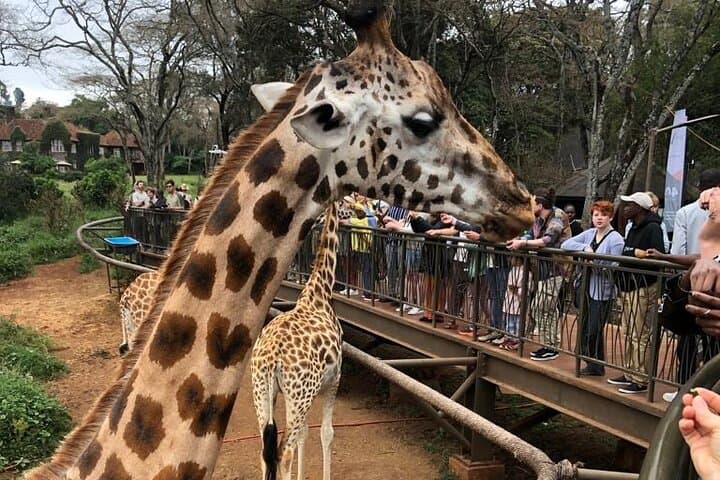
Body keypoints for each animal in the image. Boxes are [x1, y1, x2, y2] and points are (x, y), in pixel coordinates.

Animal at [251, 202, 341, 480]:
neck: (320, 292)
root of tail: (272, 359)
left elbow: (305, 433)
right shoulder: (334, 381)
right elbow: (326, 433)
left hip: (262, 391)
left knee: (265, 453)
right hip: (298, 394)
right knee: (284, 453)